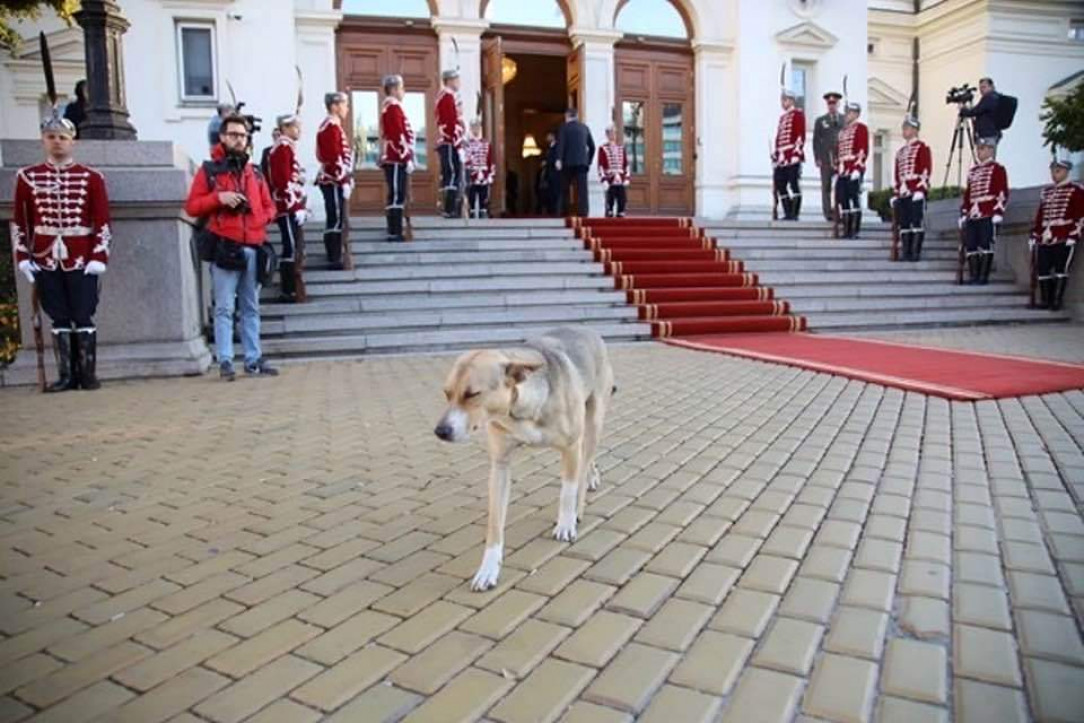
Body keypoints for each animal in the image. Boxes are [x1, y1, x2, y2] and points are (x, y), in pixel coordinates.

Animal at [433, 327, 620, 589]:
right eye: (446, 393)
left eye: (473, 394)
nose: (440, 431)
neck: (521, 408)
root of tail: (587, 330)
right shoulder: (500, 466)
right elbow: (495, 524)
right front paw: (488, 569)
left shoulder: (571, 448)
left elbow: (567, 492)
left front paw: (566, 523)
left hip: (594, 421)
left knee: (584, 465)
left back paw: (580, 504)